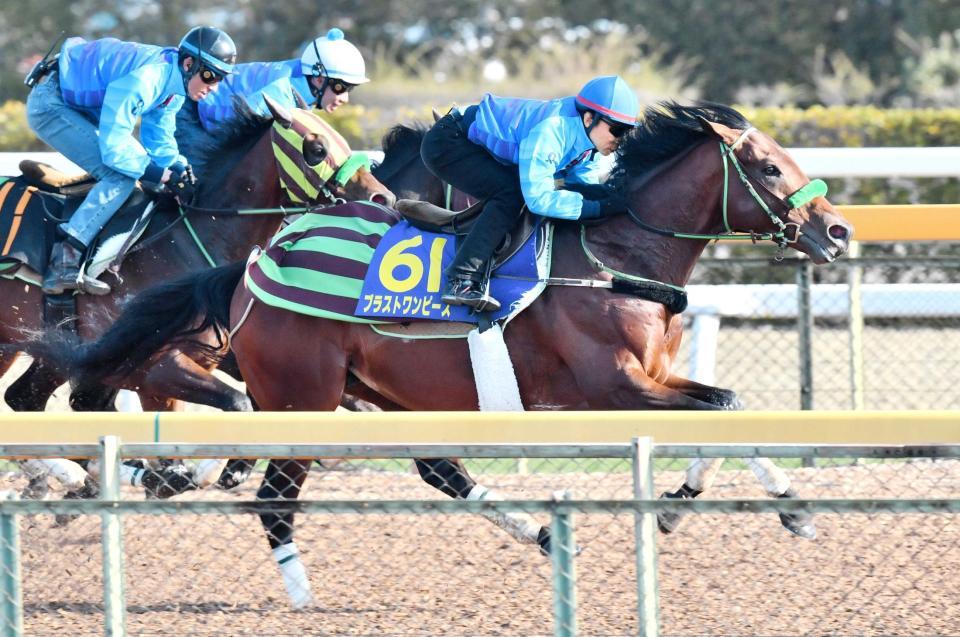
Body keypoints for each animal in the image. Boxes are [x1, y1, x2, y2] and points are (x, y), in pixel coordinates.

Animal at [26, 102, 856, 604]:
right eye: (771, 168)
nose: (839, 229)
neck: (616, 251)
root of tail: (253, 267)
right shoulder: (614, 386)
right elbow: (722, 408)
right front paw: (716, 503)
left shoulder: (655, 376)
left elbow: (729, 405)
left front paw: (748, 503)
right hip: (306, 395)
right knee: (272, 497)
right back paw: (295, 588)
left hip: (381, 392)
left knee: (435, 469)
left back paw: (538, 530)